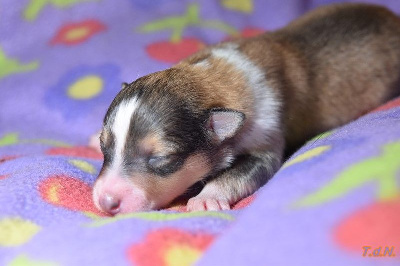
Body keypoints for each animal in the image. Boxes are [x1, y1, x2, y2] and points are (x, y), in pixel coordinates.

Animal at [91, 3, 400, 214]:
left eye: (161, 159)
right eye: (106, 147)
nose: (106, 202)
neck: (208, 76)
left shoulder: (265, 142)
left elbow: (235, 175)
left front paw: (205, 198)